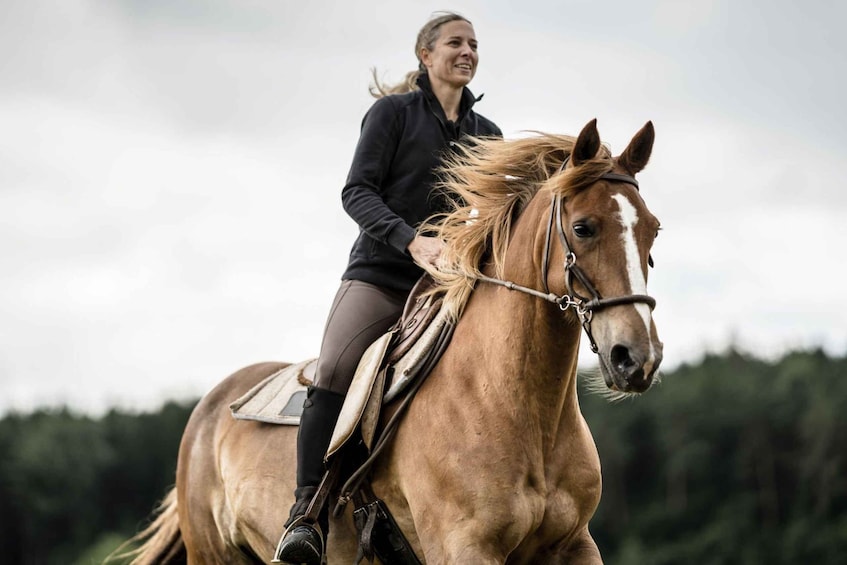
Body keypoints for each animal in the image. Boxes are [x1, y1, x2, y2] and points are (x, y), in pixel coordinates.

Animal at [119, 117, 664, 560]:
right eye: (583, 227)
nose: (636, 358)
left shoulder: (574, 545)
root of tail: (211, 407)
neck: (518, 407)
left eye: (653, 230)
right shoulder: (464, 548)